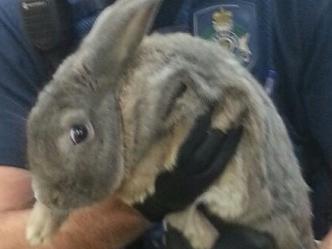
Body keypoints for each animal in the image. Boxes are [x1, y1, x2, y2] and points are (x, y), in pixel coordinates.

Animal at [24, 0, 316, 248]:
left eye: (79, 133)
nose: (48, 196)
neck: (118, 108)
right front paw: (37, 232)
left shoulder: (186, 103)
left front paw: (140, 189)